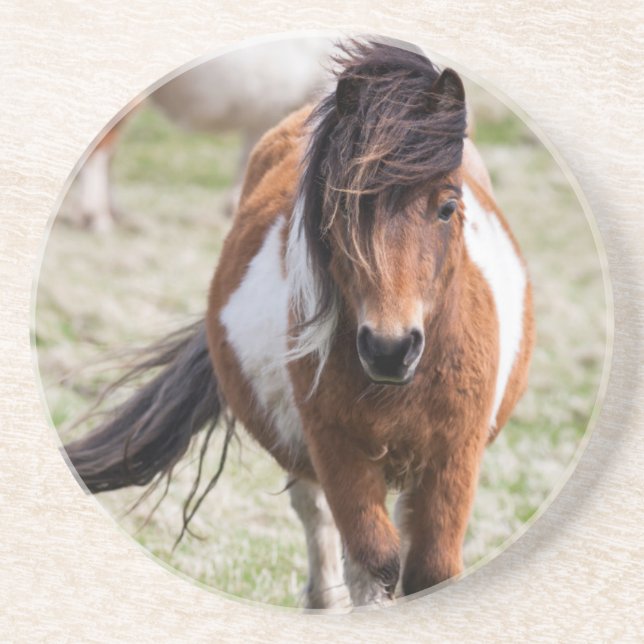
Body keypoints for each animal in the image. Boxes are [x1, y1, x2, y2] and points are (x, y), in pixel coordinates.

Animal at [64, 39, 534, 609]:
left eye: (447, 207)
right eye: (341, 209)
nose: (389, 349)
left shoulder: (454, 458)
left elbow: (430, 570)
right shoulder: (337, 452)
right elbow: (374, 564)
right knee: (317, 519)